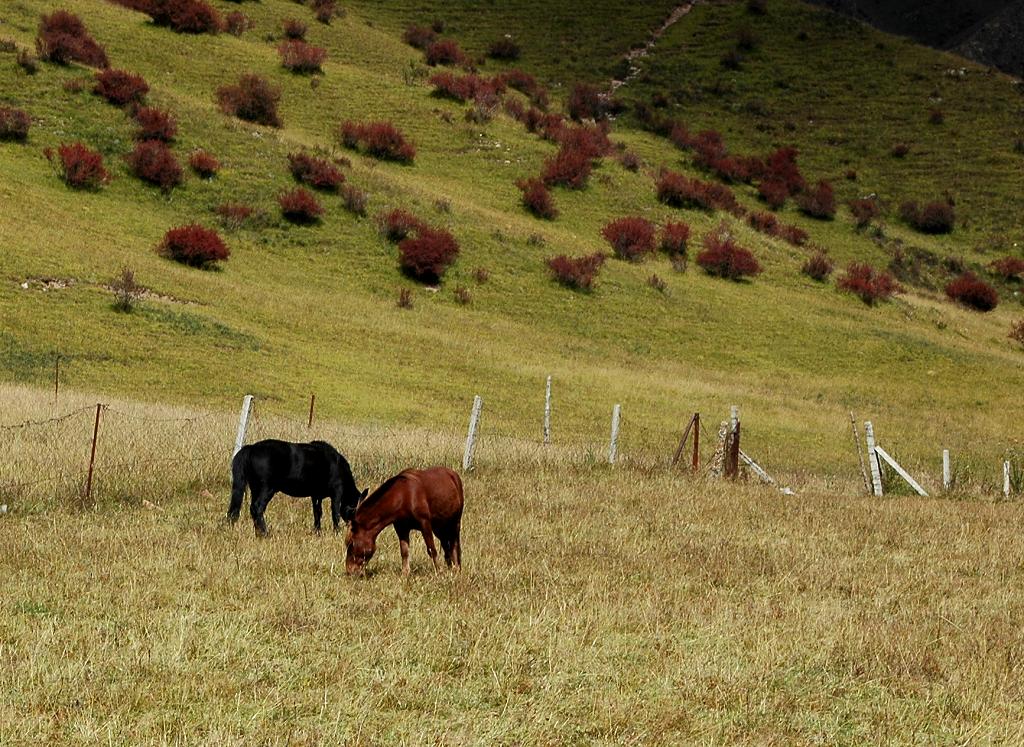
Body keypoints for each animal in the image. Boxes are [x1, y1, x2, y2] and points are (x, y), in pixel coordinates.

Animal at [228, 436, 368, 536]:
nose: (356, 528)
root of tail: (252, 448)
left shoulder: (316, 495)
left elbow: (317, 512)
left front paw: (317, 531)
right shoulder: (336, 492)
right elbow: (335, 513)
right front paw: (336, 532)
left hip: (255, 488)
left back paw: (258, 533)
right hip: (266, 489)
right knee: (257, 508)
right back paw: (265, 534)